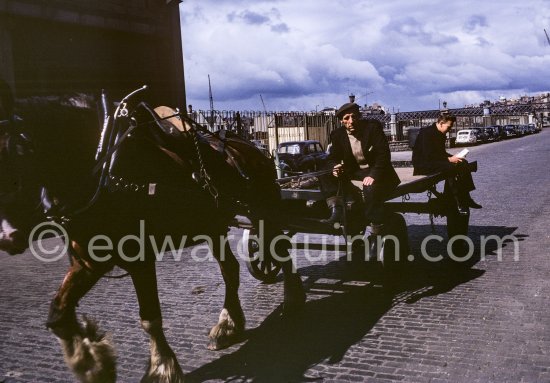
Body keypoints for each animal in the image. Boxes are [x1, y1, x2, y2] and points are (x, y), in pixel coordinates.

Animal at [0, 85, 306, 383]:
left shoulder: (138, 257)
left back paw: (293, 299)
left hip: (263, 212)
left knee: (279, 248)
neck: (105, 166)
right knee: (231, 269)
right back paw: (227, 325)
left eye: (19, 152)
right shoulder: (88, 260)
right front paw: (93, 364)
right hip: (214, 225)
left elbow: (149, 318)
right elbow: (58, 315)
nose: (7, 237)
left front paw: (162, 368)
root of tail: (254, 150)